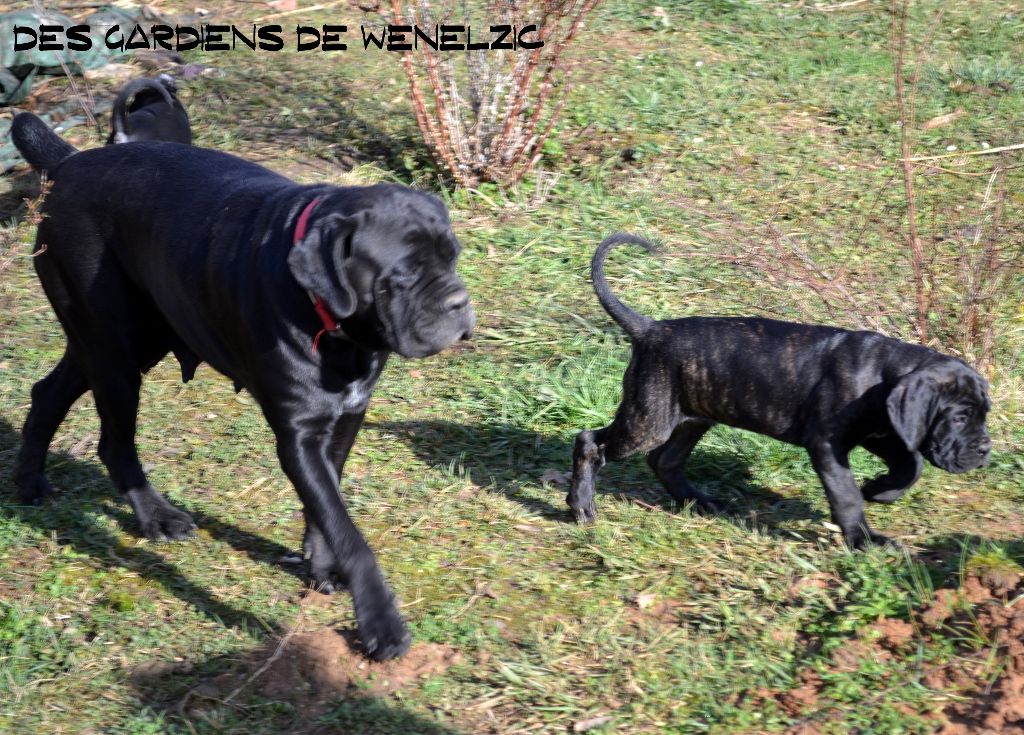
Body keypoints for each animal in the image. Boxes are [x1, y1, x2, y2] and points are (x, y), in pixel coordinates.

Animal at [9, 113, 473, 663]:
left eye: (453, 255)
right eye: (402, 274)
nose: (460, 302)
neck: (335, 324)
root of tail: (69, 162)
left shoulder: (343, 420)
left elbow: (327, 506)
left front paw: (321, 566)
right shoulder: (298, 434)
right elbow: (349, 532)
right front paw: (381, 623)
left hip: (124, 341)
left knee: (48, 392)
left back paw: (29, 483)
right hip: (113, 347)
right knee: (113, 441)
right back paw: (156, 516)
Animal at [569, 233, 991, 548]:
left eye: (983, 414)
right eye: (959, 417)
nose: (985, 450)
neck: (883, 374)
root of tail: (650, 329)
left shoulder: (883, 433)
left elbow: (910, 466)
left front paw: (879, 490)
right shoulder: (827, 445)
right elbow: (846, 495)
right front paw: (863, 539)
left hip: (691, 418)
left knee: (664, 460)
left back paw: (699, 502)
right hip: (648, 420)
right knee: (591, 441)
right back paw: (581, 506)